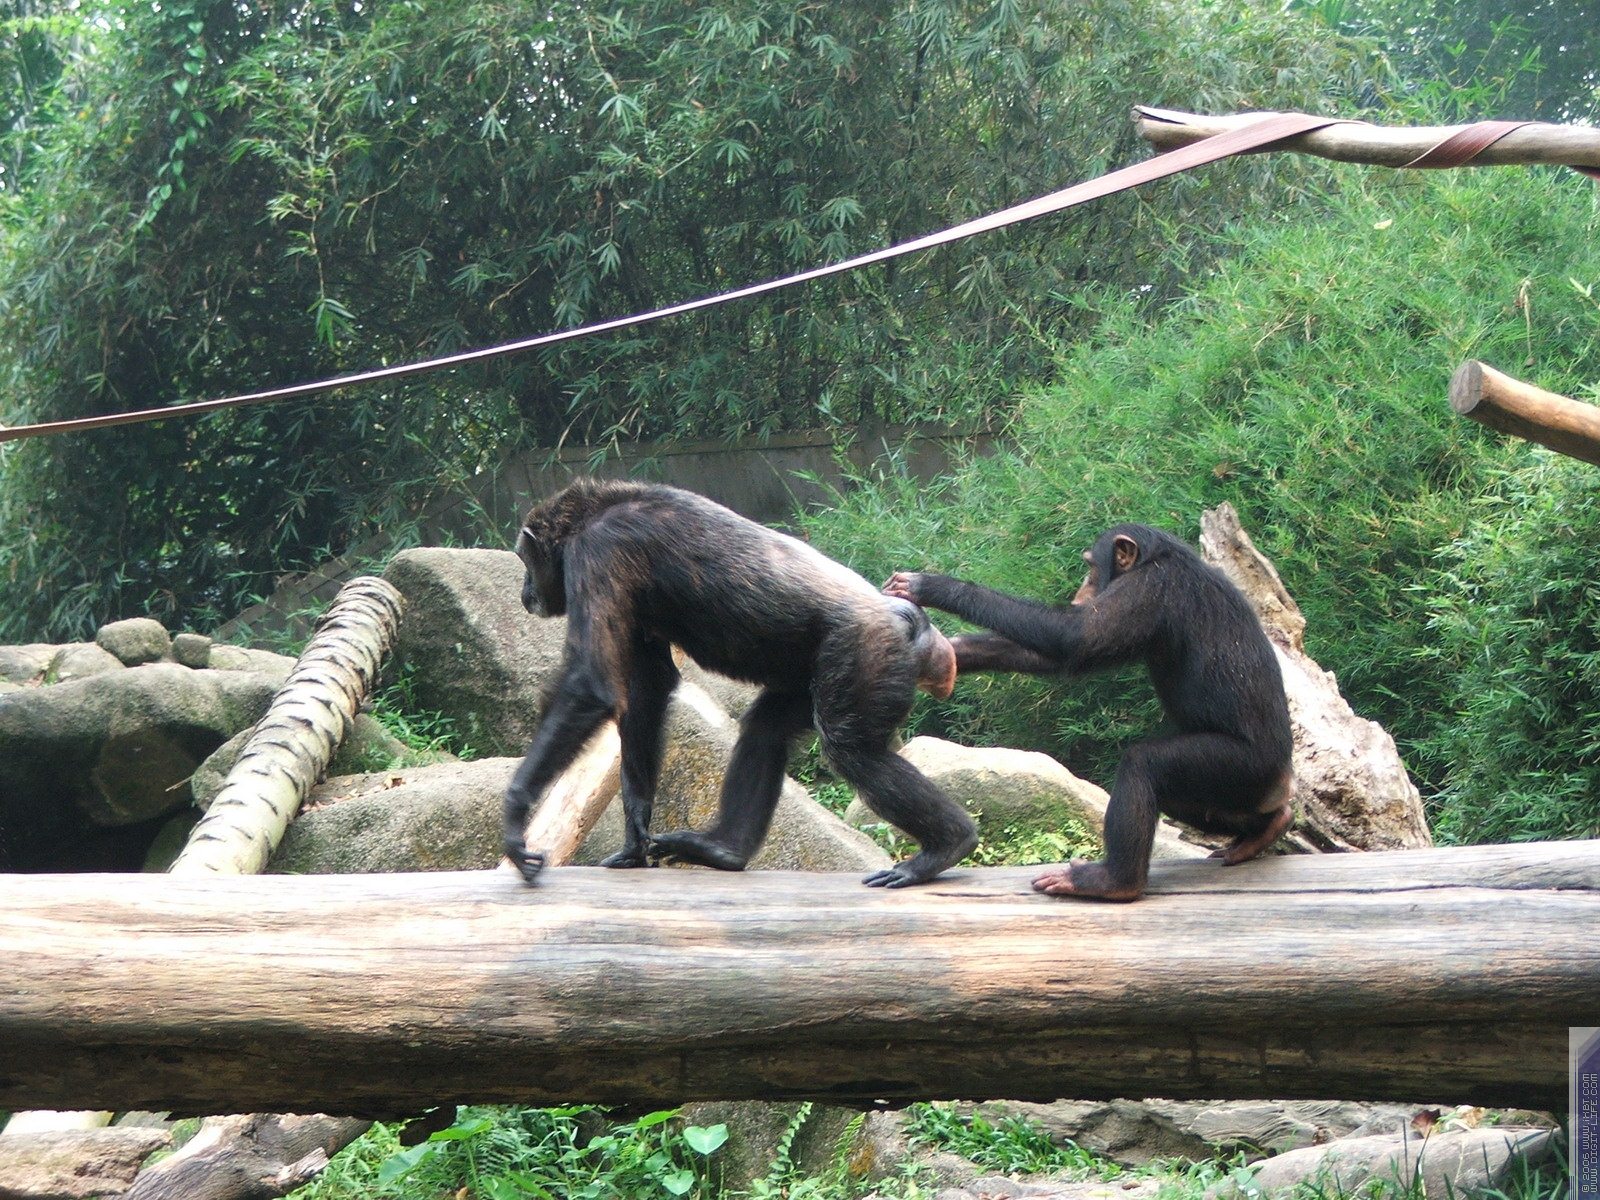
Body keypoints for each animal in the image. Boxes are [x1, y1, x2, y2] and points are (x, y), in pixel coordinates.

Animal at [504, 478, 978, 889]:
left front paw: (515, 815)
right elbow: (647, 690)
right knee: (767, 729)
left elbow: (591, 683)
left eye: (525, 560)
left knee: (854, 750)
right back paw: (723, 850)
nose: (525, 591)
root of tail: (917, 627)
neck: (593, 514)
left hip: (867, 652)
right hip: (817, 674)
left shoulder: (599, 552)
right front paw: (635, 830)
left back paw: (944, 847)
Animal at [885, 523, 1293, 901]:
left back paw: (1112, 882)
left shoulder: (1149, 589)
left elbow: (1073, 636)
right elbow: (1054, 654)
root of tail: (1283, 781)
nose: (1082, 588)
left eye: (1091, 568)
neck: (1161, 558)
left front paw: (933, 586)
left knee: (1144, 765)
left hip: (1241, 767)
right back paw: (1265, 830)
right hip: (1242, 792)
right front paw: (951, 652)